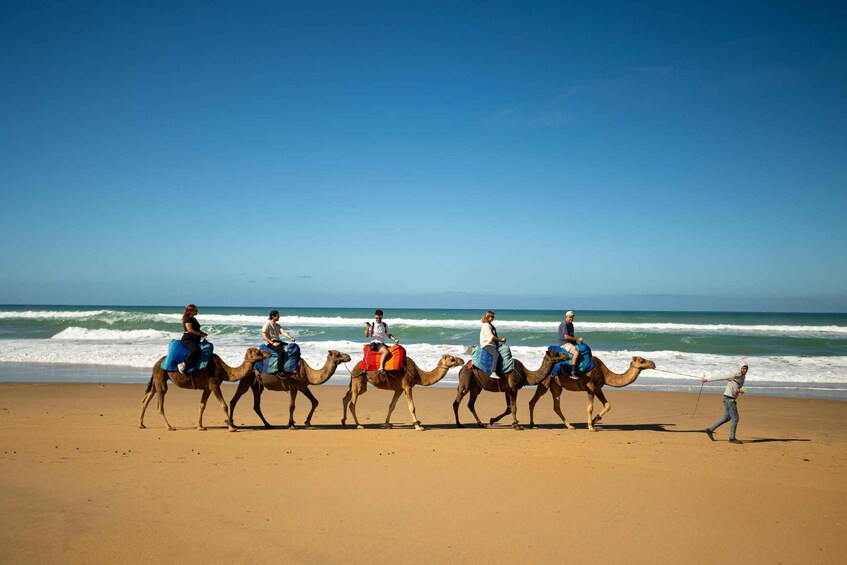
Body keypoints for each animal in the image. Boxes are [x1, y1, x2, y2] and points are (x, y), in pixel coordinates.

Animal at [139, 344, 270, 432]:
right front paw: (231, 427)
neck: (225, 371)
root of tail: (156, 364)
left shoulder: (208, 387)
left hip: (157, 380)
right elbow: (224, 405)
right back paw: (169, 427)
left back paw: (141, 424)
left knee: (146, 399)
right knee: (160, 404)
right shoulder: (214, 384)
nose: (269, 353)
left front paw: (200, 426)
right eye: (258, 352)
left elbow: (202, 405)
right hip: (161, 378)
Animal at [528, 354, 660, 430]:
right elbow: (589, 408)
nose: (653, 364)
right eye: (642, 361)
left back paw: (570, 426)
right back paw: (532, 424)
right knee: (533, 401)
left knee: (556, 406)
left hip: (556, 386)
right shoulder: (591, 388)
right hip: (545, 382)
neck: (605, 373)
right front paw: (591, 427)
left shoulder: (598, 388)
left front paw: (594, 420)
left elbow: (608, 405)